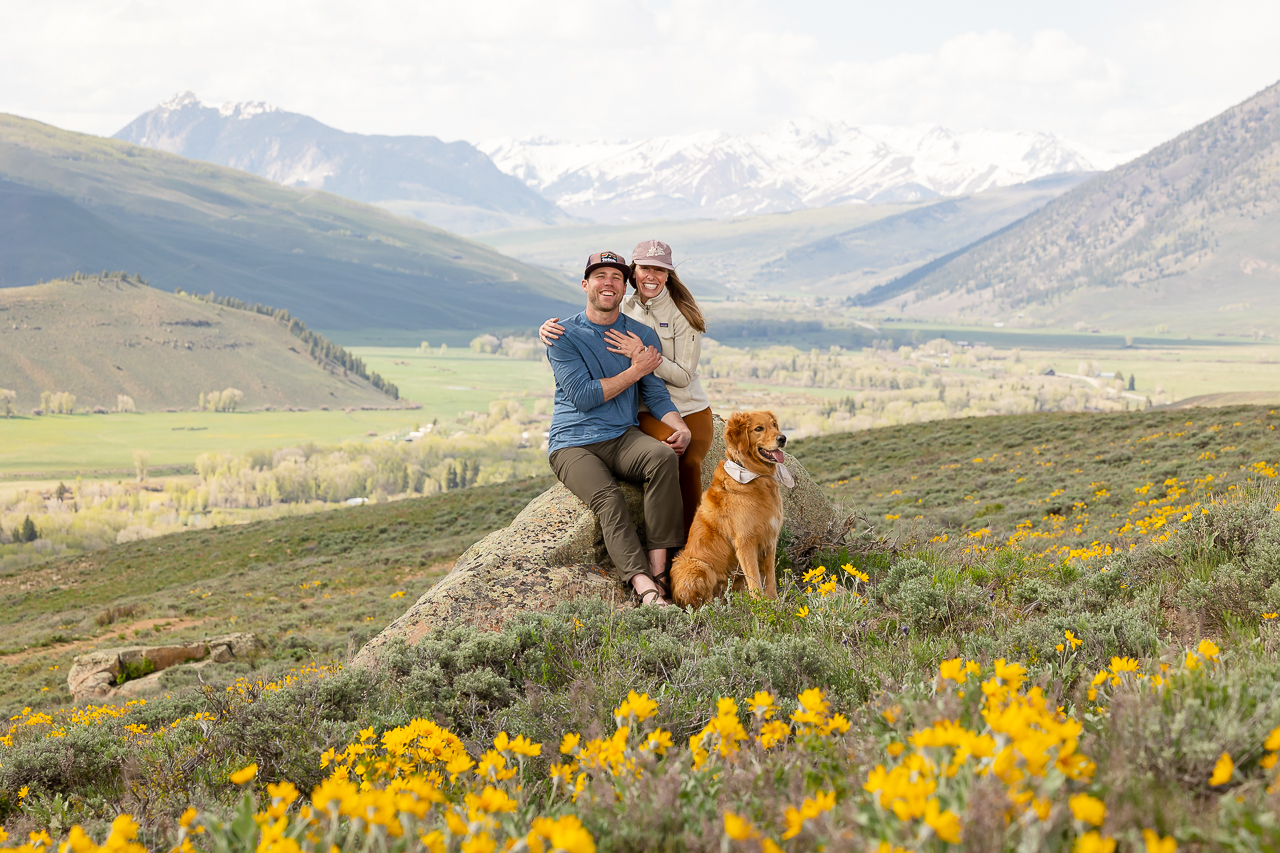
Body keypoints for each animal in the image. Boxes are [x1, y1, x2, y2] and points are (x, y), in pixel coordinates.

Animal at [670, 409, 788, 604]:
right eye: (759, 428)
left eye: (774, 425)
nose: (782, 438)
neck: (754, 476)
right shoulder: (746, 542)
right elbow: (755, 580)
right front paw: (760, 605)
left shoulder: (770, 540)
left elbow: (769, 579)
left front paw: (774, 603)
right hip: (698, 565)